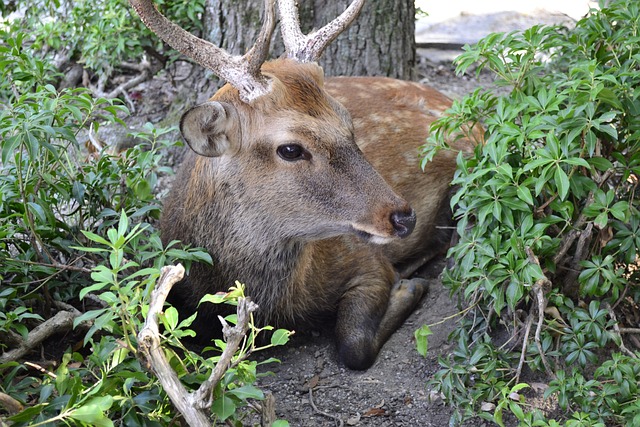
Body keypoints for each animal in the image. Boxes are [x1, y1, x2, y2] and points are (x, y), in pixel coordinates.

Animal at [130, 0, 478, 372]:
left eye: (348, 122)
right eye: (290, 149)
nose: (403, 217)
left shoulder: (365, 258)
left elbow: (353, 345)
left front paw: (406, 288)